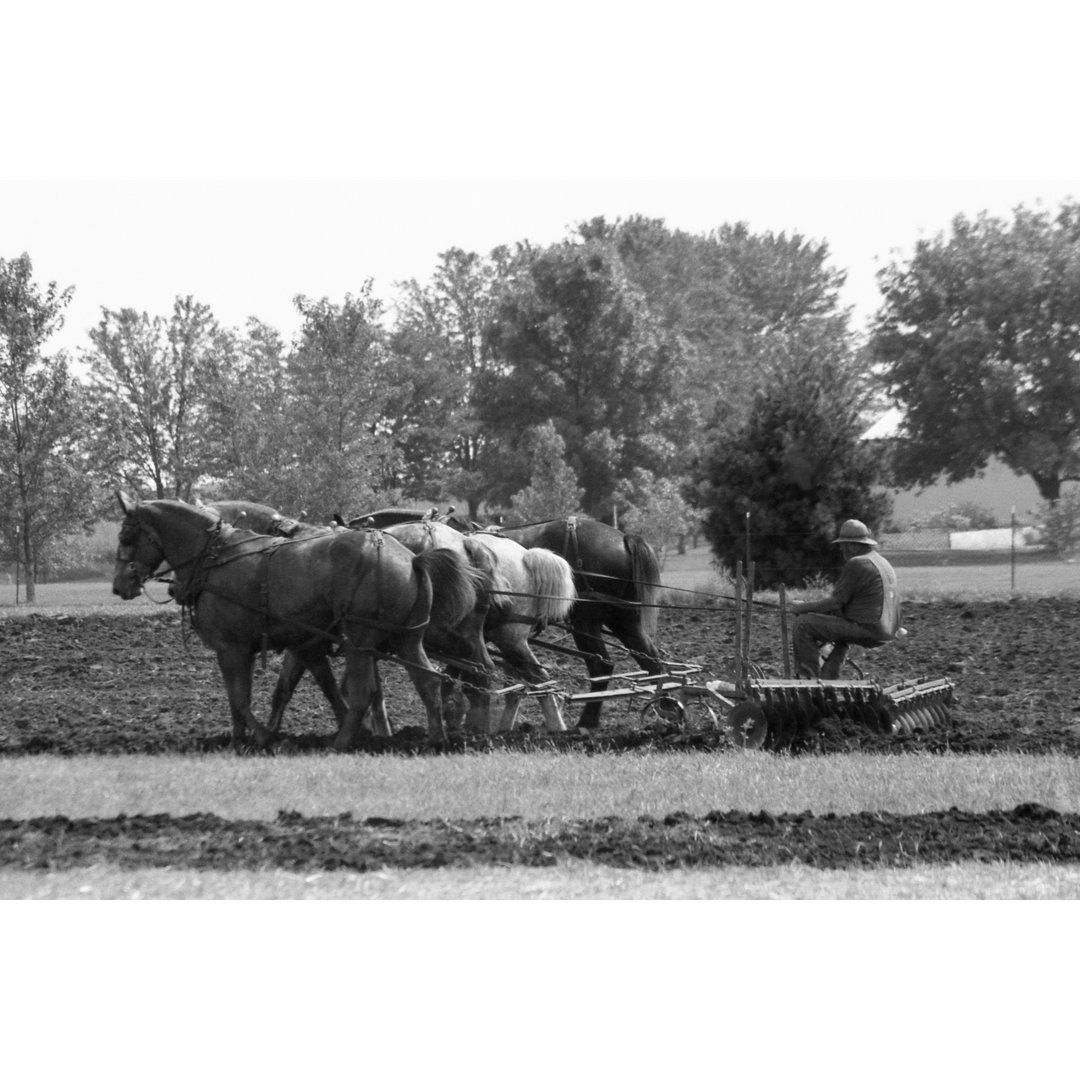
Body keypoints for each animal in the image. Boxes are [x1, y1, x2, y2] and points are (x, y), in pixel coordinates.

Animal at [112, 492, 477, 751]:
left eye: (127, 537)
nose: (119, 586)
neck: (218, 557)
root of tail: (412, 557)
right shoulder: (298, 645)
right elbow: (274, 693)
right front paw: (239, 740)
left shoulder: (232, 647)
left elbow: (240, 698)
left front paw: (263, 736)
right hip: (406, 639)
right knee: (427, 681)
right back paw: (435, 739)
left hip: (360, 640)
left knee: (366, 692)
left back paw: (342, 743)